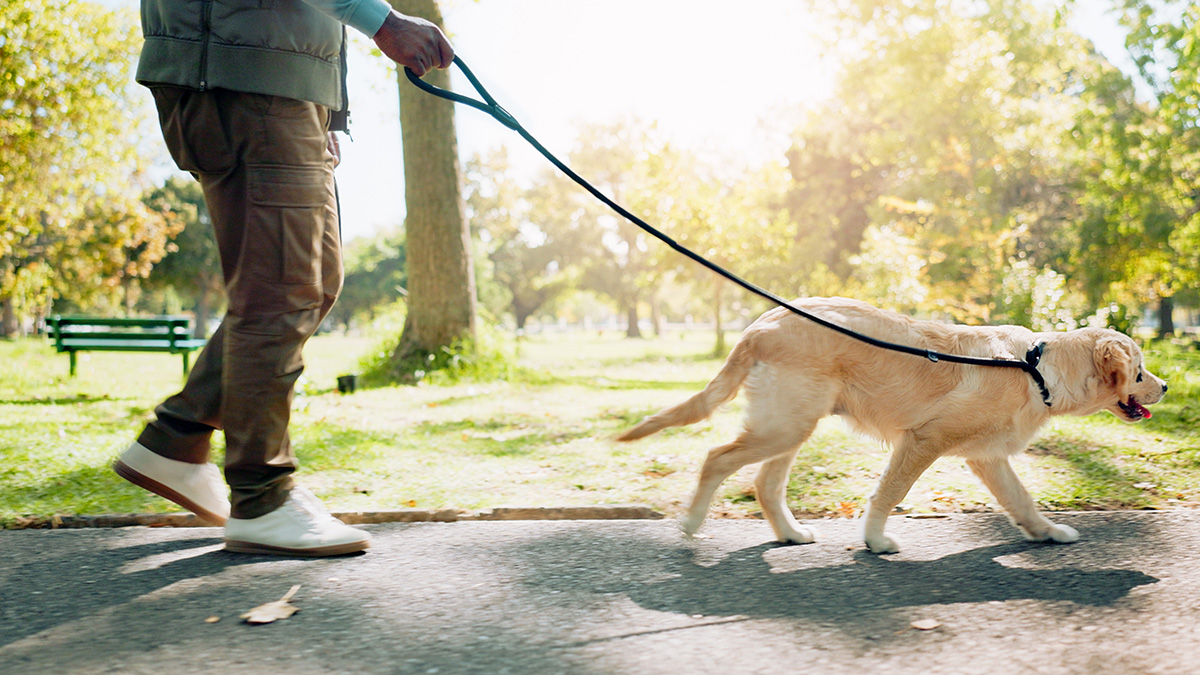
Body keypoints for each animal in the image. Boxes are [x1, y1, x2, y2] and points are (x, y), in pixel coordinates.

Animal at [624, 296, 1166, 550]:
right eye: (1139, 371)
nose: (1164, 388)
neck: (1036, 368)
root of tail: (761, 324)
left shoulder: (987, 457)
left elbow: (1021, 499)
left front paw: (1047, 532)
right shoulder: (923, 440)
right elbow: (890, 492)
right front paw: (875, 540)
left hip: (793, 424)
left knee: (764, 483)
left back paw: (791, 534)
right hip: (785, 425)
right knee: (717, 459)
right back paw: (692, 523)